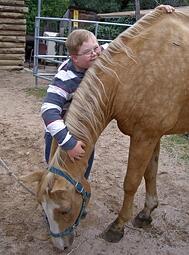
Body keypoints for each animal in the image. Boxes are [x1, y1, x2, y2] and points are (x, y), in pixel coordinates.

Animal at [21, 7, 189, 251]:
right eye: (43, 208)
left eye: (65, 210)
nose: (61, 247)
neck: (132, 70)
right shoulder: (153, 135)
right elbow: (150, 173)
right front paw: (146, 214)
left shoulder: (144, 136)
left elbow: (131, 182)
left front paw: (117, 227)